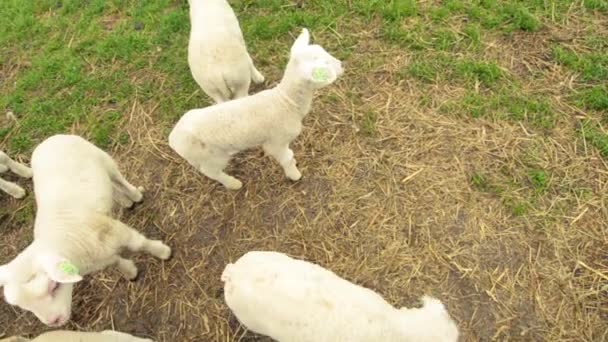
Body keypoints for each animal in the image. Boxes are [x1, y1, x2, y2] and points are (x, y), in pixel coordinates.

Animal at [0, 135, 171, 328]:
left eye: (54, 286)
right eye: (25, 307)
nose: (54, 322)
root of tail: (47, 141)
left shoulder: (115, 231)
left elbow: (139, 244)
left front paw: (163, 252)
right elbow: (114, 262)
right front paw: (130, 271)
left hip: (102, 158)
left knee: (118, 179)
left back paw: (135, 195)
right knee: (110, 187)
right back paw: (126, 202)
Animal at [169, 28, 344, 190]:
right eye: (325, 65)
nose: (342, 65)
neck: (286, 102)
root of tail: (173, 138)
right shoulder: (276, 141)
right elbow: (286, 157)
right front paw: (294, 175)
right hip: (209, 159)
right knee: (211, 172)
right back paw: (233, 184)